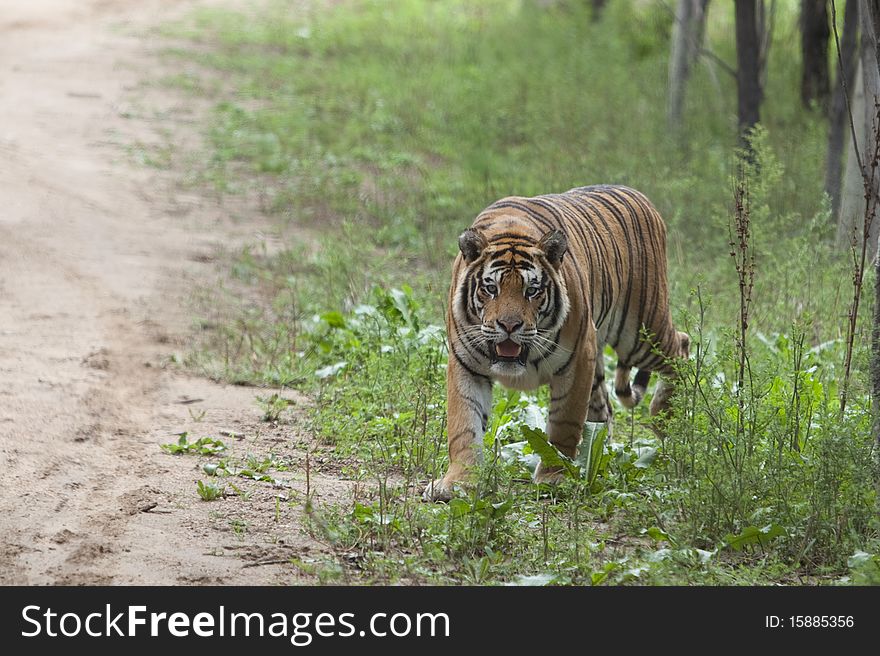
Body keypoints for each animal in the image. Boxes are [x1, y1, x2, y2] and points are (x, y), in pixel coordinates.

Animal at [424, 184, 688, 502]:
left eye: (532, 290)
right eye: (491, 288)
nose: (509, 326)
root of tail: (638, 194)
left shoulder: (577, 359)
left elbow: (564, 423)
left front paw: (555, 477)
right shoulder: (464, 364)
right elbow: (464, 426)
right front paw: (458, 483)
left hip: (640, 331)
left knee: (681, 347)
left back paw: (666, 418)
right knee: (604, 409)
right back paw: (599, 456)